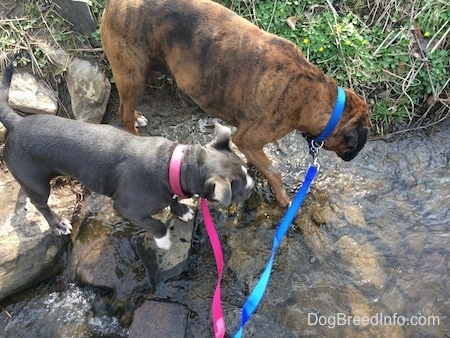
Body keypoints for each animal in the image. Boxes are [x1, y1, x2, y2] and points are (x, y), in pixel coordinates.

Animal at [100, 0, 370, 207]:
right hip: (133, 77)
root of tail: (116, 4)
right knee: (123, 114)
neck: (311, 94)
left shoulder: (249, 143)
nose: (353, 157)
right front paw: (284, 198)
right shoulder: (248, 138)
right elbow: (273, 170)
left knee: (126, 110)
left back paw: (137, 116)